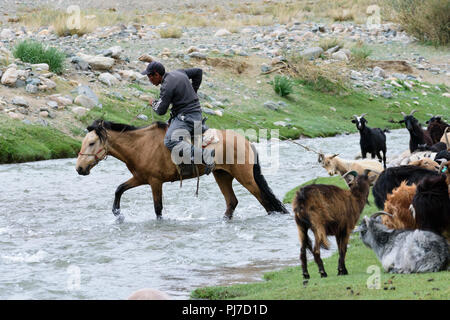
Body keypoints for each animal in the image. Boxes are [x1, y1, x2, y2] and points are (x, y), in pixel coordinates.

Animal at [75, 120, 286, 220]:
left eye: (92, 143)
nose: (79, 168)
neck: (140, 145)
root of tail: (246, 141)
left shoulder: (154, 182)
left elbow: (158, 208)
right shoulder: (140, 178)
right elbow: (119, 189)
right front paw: (118, 214)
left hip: (245, 177)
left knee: (264, 199)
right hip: (222, 175)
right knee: (232, 202)